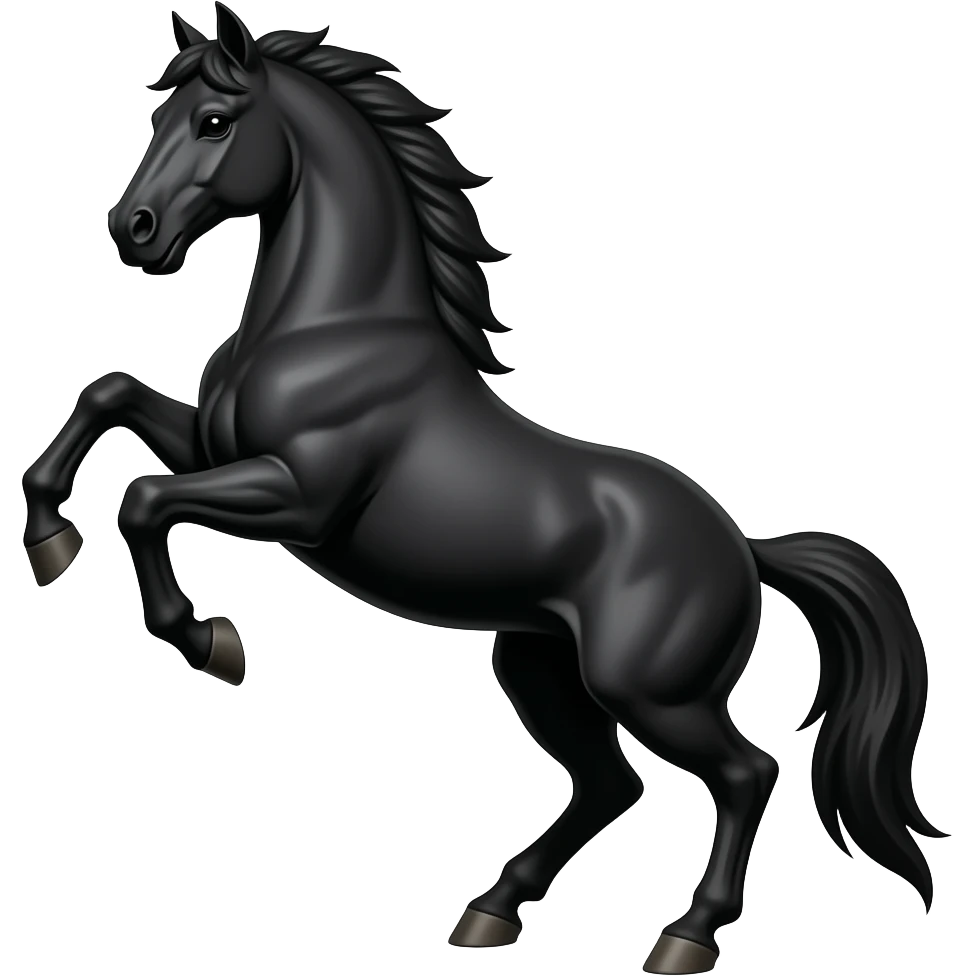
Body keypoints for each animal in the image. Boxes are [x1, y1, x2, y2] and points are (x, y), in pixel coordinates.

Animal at [20, 6, 945, 973]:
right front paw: (49, 542)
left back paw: (685, 937)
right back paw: (491, 914)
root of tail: (747, 549)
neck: (335, 329)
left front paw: (210, 643)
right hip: (538, 666)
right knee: (611, 785)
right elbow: (110, 394)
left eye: (213, 122)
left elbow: (144, 498)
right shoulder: (209, 444)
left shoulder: (300, 501)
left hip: (650, 690)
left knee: (744, 773)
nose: (133, 230)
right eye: (159, 117)